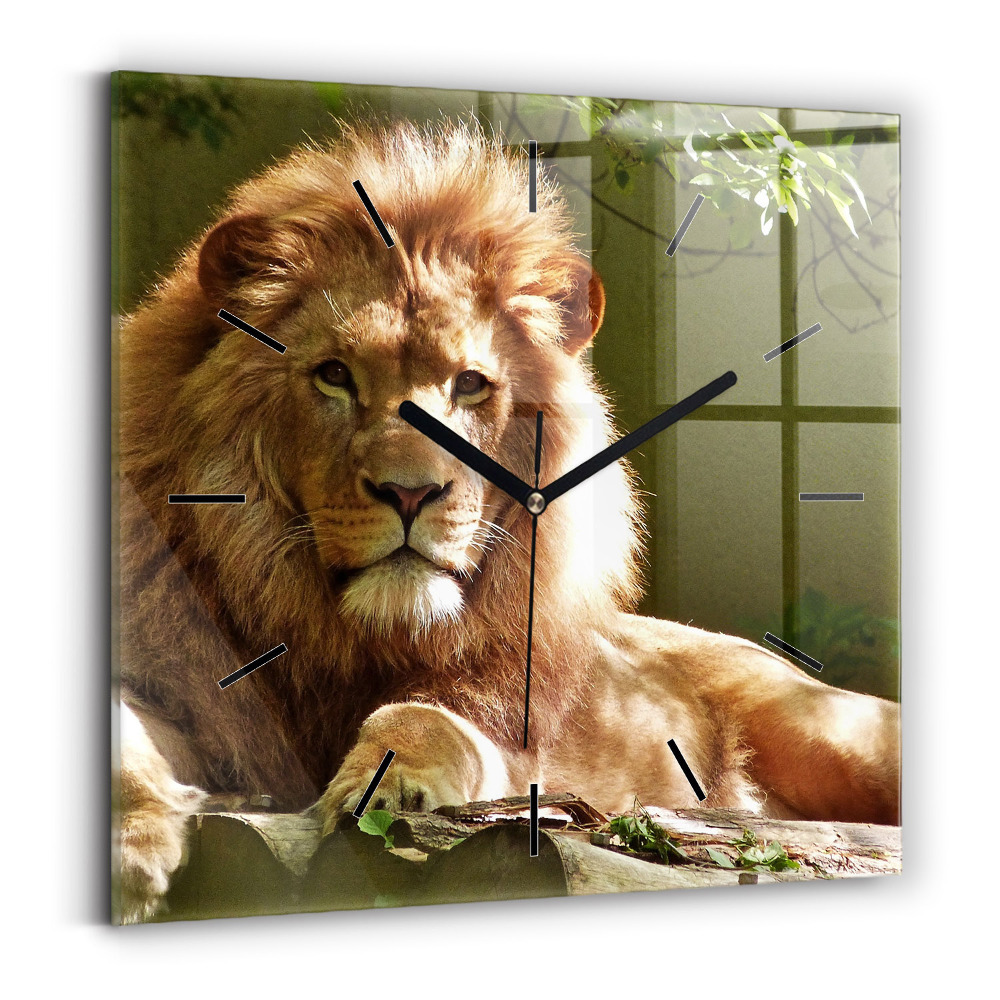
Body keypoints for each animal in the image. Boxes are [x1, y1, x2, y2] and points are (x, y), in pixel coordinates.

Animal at [116, 120, 900, 923]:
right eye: (334, 375)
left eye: (469, 385)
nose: (411, 494)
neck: (347, 634)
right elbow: (123, 732)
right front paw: (131, 847)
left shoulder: (520, 748)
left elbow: (424, 719)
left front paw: (389, 786)